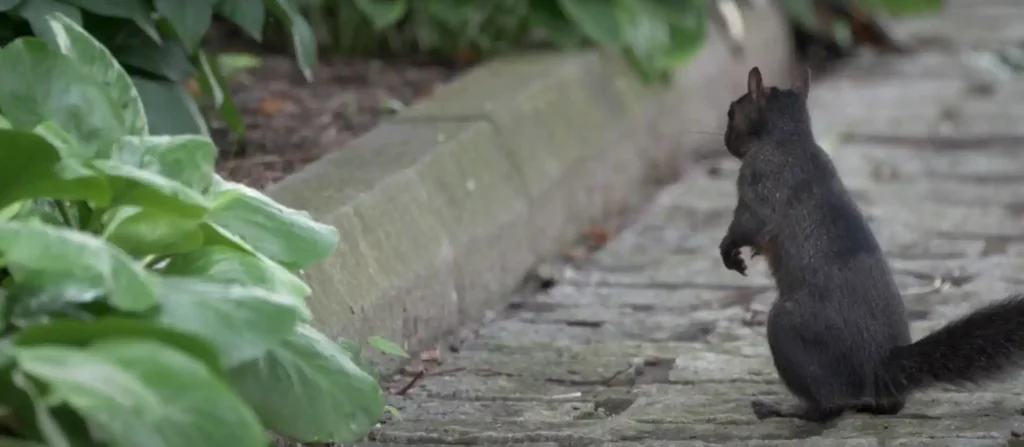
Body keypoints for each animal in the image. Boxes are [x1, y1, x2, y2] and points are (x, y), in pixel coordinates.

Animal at [718, 66, 1024, 423]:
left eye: (732, 112)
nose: (726, 141)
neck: (789, 138)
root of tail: (879, 367)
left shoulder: (759, 181)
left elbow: (748, 224)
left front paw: (730, 250)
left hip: (788, 328)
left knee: (829, 405)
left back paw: (784, 408)